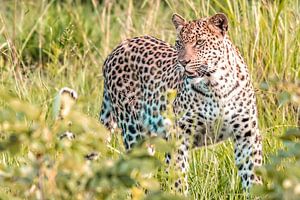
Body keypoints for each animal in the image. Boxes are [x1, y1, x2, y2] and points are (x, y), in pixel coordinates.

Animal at [99, 12, 262, 195]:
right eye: (179, 43)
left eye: (199, 42)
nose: (183, 62)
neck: (216, 86)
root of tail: (115, 49)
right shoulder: (178, 135)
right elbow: (177, 177)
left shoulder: (247, 134)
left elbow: (253, 174)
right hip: (135, 132)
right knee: (138, 173)